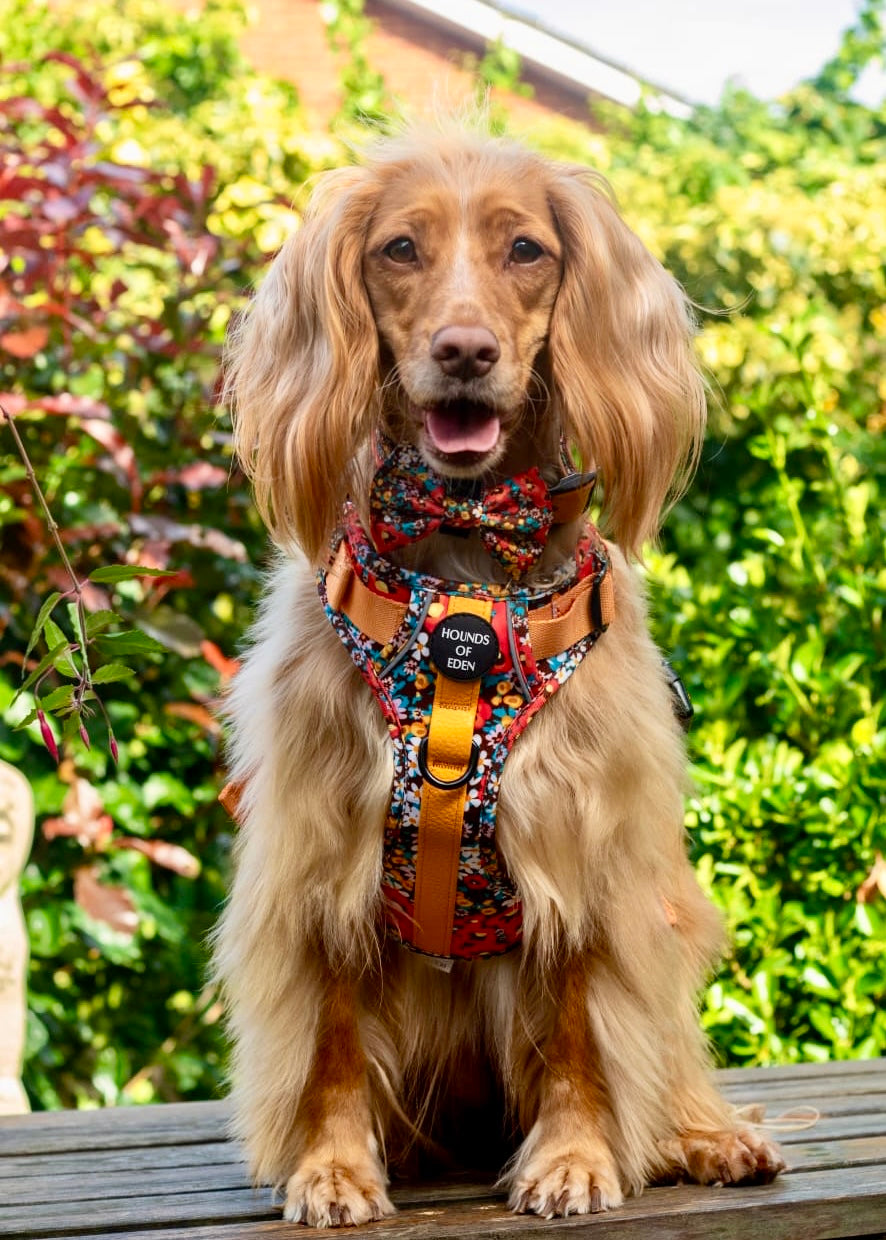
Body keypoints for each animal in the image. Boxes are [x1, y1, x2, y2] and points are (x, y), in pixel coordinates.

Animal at [213, 120, 783, 1225]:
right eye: (399, 249)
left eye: (527, 250)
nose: (465, 351)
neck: (468, 552)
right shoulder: (325, 847)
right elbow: (333, 1041)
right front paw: (333, 1168)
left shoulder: (587, 834)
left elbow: (581, 1028)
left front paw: (574, 1158)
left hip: (667, 917)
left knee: (663, 1058)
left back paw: (703, 1137)